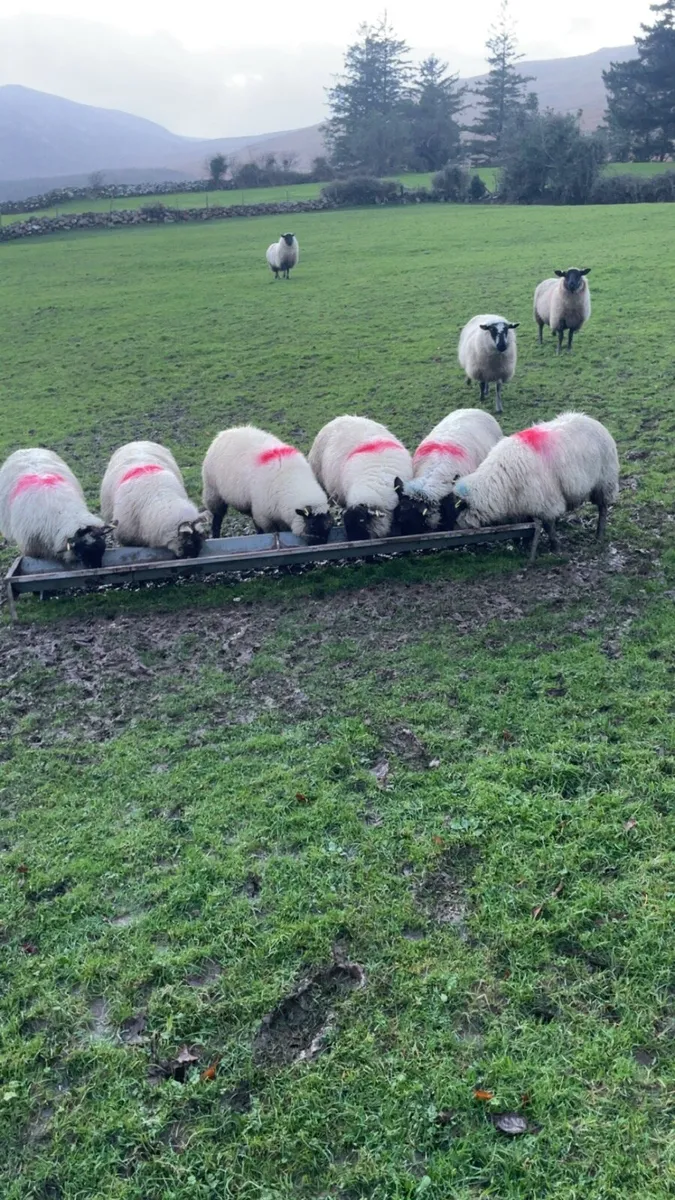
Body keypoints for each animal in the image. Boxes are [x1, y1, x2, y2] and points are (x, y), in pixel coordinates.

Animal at [202, 426, 332, 543]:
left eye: (329, 526)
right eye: (312, 525)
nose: (320, 543)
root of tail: (225, 432)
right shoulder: (264, 517)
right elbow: (270, 532)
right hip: (213, 492)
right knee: (217, 518)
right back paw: (215, 536)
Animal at [453, 411, 619, 552]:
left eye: (453, 511)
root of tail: (591, 419)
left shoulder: (546, 501)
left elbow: (547, 525)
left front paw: (555, 547)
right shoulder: (521, 505)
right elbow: (526, 527)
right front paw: (522, 545)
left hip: (605, 481)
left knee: (603, 508)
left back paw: (599, 535)